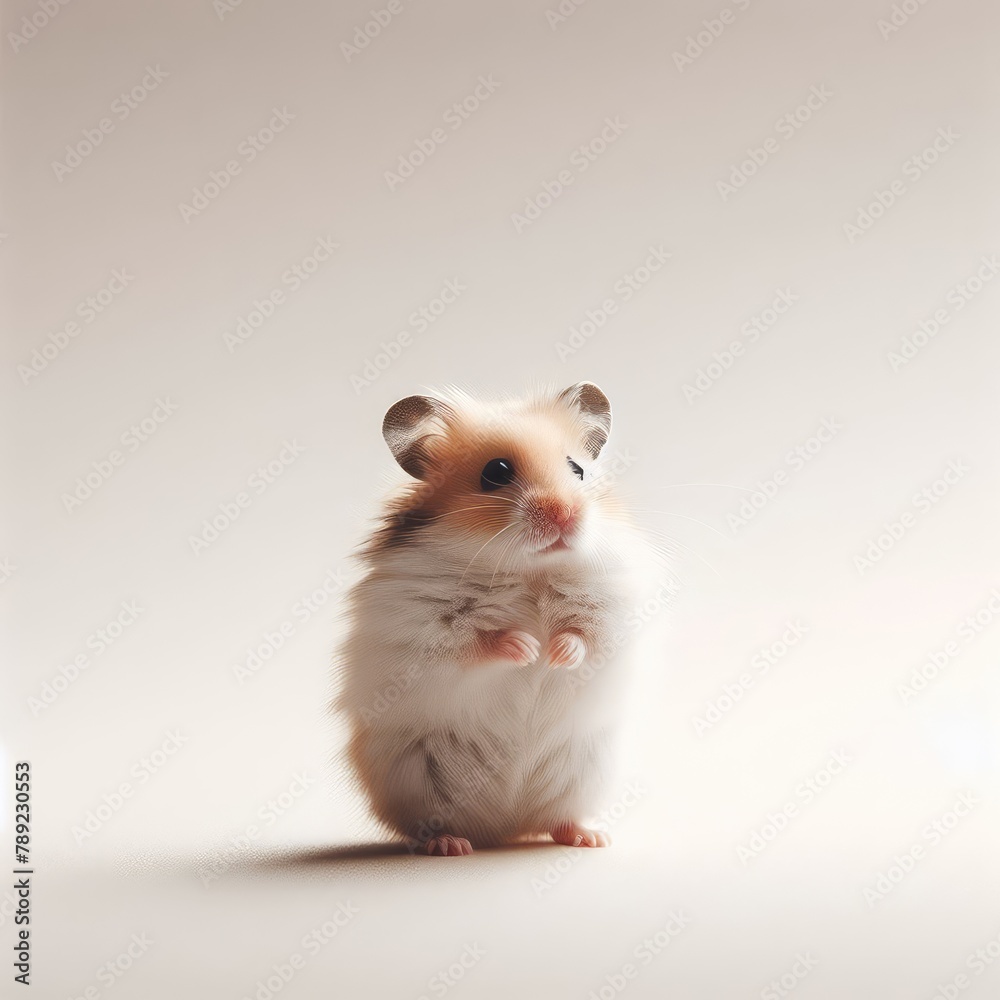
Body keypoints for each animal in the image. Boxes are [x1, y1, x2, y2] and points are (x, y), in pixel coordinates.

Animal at [336, 378, 656, 856]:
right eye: (496, 472)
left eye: (578, 470)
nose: (565, 513)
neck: (528, 572)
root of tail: (505, 830)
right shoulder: (422, 631)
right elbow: (474, 644)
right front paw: (527, 648)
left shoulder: (614, 613)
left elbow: (585, 636)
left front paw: (554, 654)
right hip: (414, 779)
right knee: (430, 825)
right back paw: (450, 845)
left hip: (584, 772)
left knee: (558, 819)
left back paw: (590, 837)